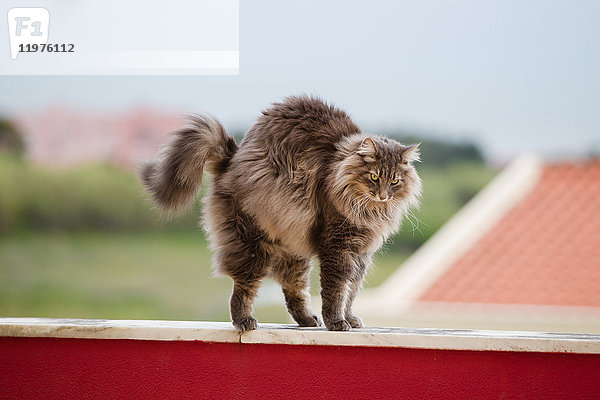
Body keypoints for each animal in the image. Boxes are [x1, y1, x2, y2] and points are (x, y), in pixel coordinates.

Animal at [140, 96, 422, 332]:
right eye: (374, 177)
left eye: (394, 181)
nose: (383, 195)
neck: (369, 210)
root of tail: (233, 158)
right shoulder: (337, 248)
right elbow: (335, 291)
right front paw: (337, 322)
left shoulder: (361, 253)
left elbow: (351, 291)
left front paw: (350, 318)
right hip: (252, 242)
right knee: (242, 288)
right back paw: (245, 321)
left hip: (293, 247)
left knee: (293, 289)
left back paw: (307, 320)